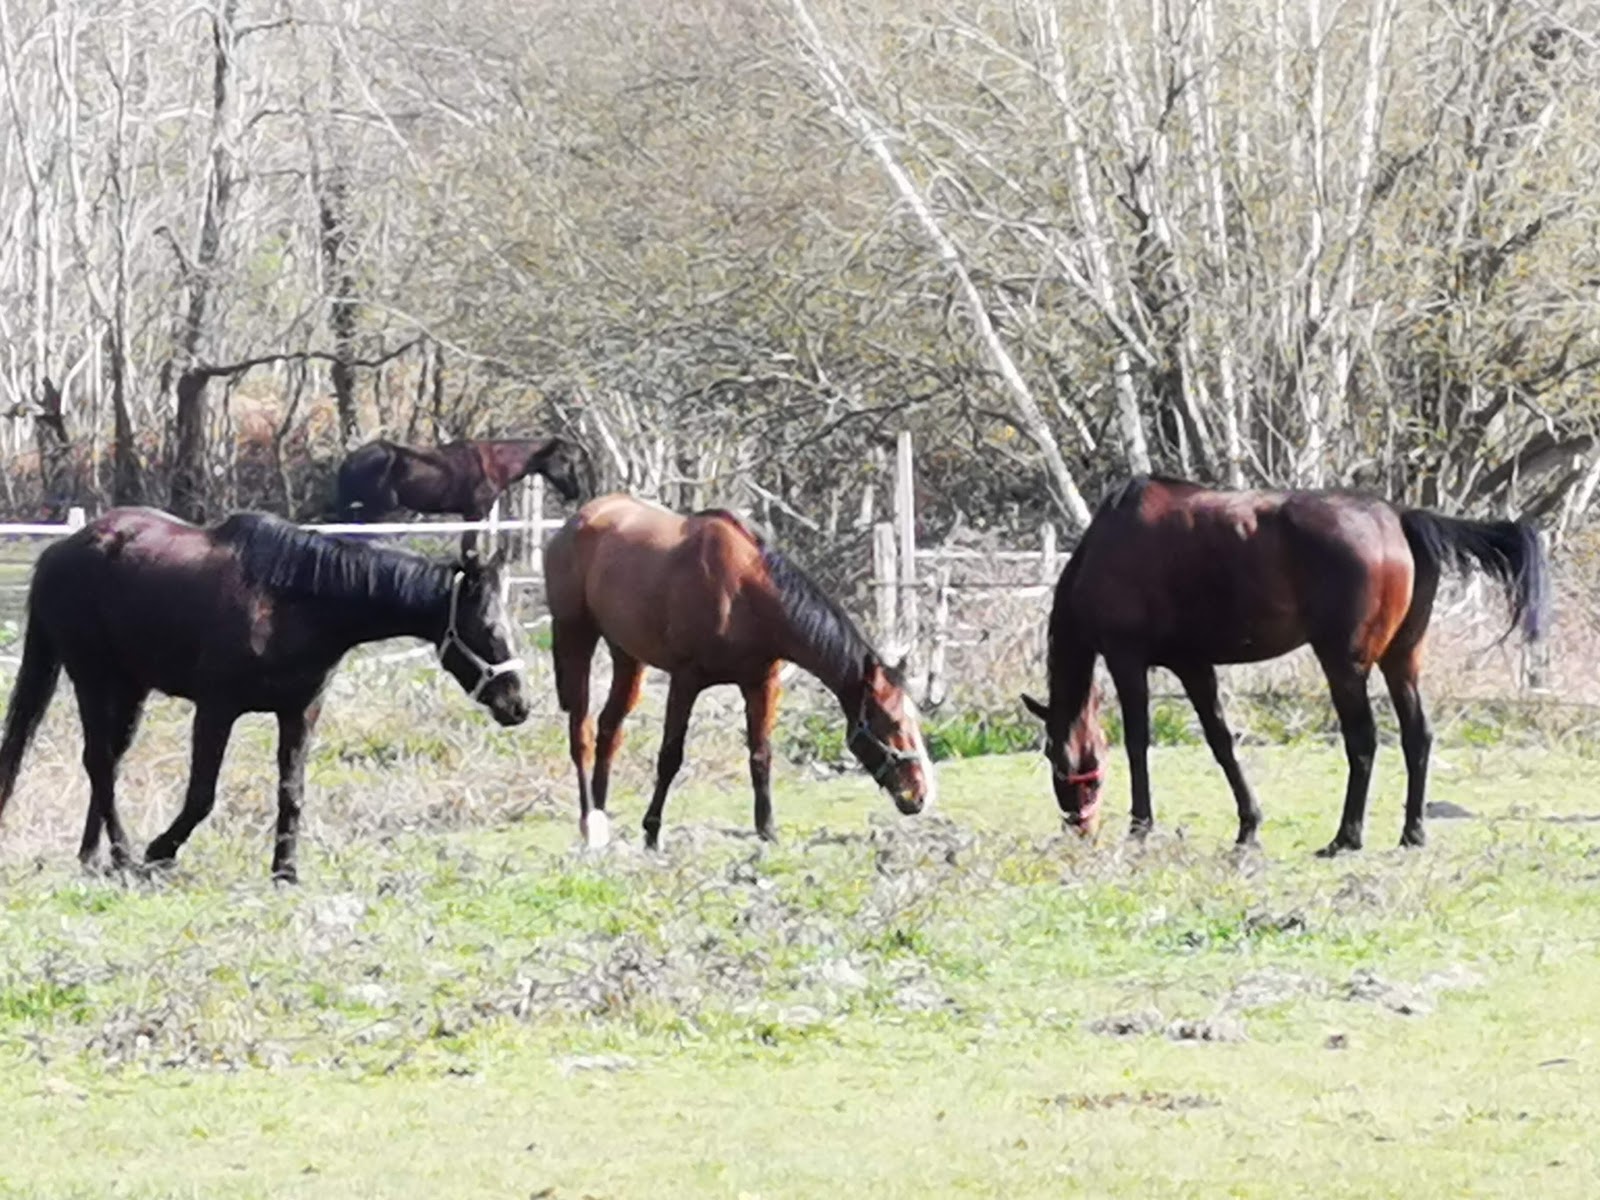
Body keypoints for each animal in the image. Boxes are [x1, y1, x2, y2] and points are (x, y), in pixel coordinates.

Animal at [0, 508, 531, 883]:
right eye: (487, 630)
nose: (518, 705)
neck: (292, 601)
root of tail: (60, 552)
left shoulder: (300, 711)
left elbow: (291, 793)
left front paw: (285, 870)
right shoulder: (215, 709)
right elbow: (201, 796)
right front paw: (160, 851)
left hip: (132, 687)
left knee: (108, 762)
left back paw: (96, 857)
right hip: (92, 676)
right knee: (98, 761)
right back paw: (126, 854)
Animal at [544, 492, 934, 851]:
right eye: (890, 722)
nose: (919, 795)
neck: (743, 593)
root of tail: (577, 520)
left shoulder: (761, 684)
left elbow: (761, 755)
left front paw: (767, 830)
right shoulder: (685, 681)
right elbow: (670, 757)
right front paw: (652, 832)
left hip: (627, 656)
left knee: (609, 729)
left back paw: (601, 816)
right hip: (576, 637)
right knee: (581, 731)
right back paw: (588, 821)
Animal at [1024, 473, 1548, 857]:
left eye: (1053, 754)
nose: (1078, 828)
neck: (1107, 546)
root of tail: (1399, 517)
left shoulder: (1127, 659)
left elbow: (1137, 742)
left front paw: (1140, 826)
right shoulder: (1194, 665)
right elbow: (1221, 742)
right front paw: (1248, 826)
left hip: (1344, 664)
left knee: (1362, 740)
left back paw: (1346, 837)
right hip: (1402, 660)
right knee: (1417, 736)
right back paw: (1412, 833)